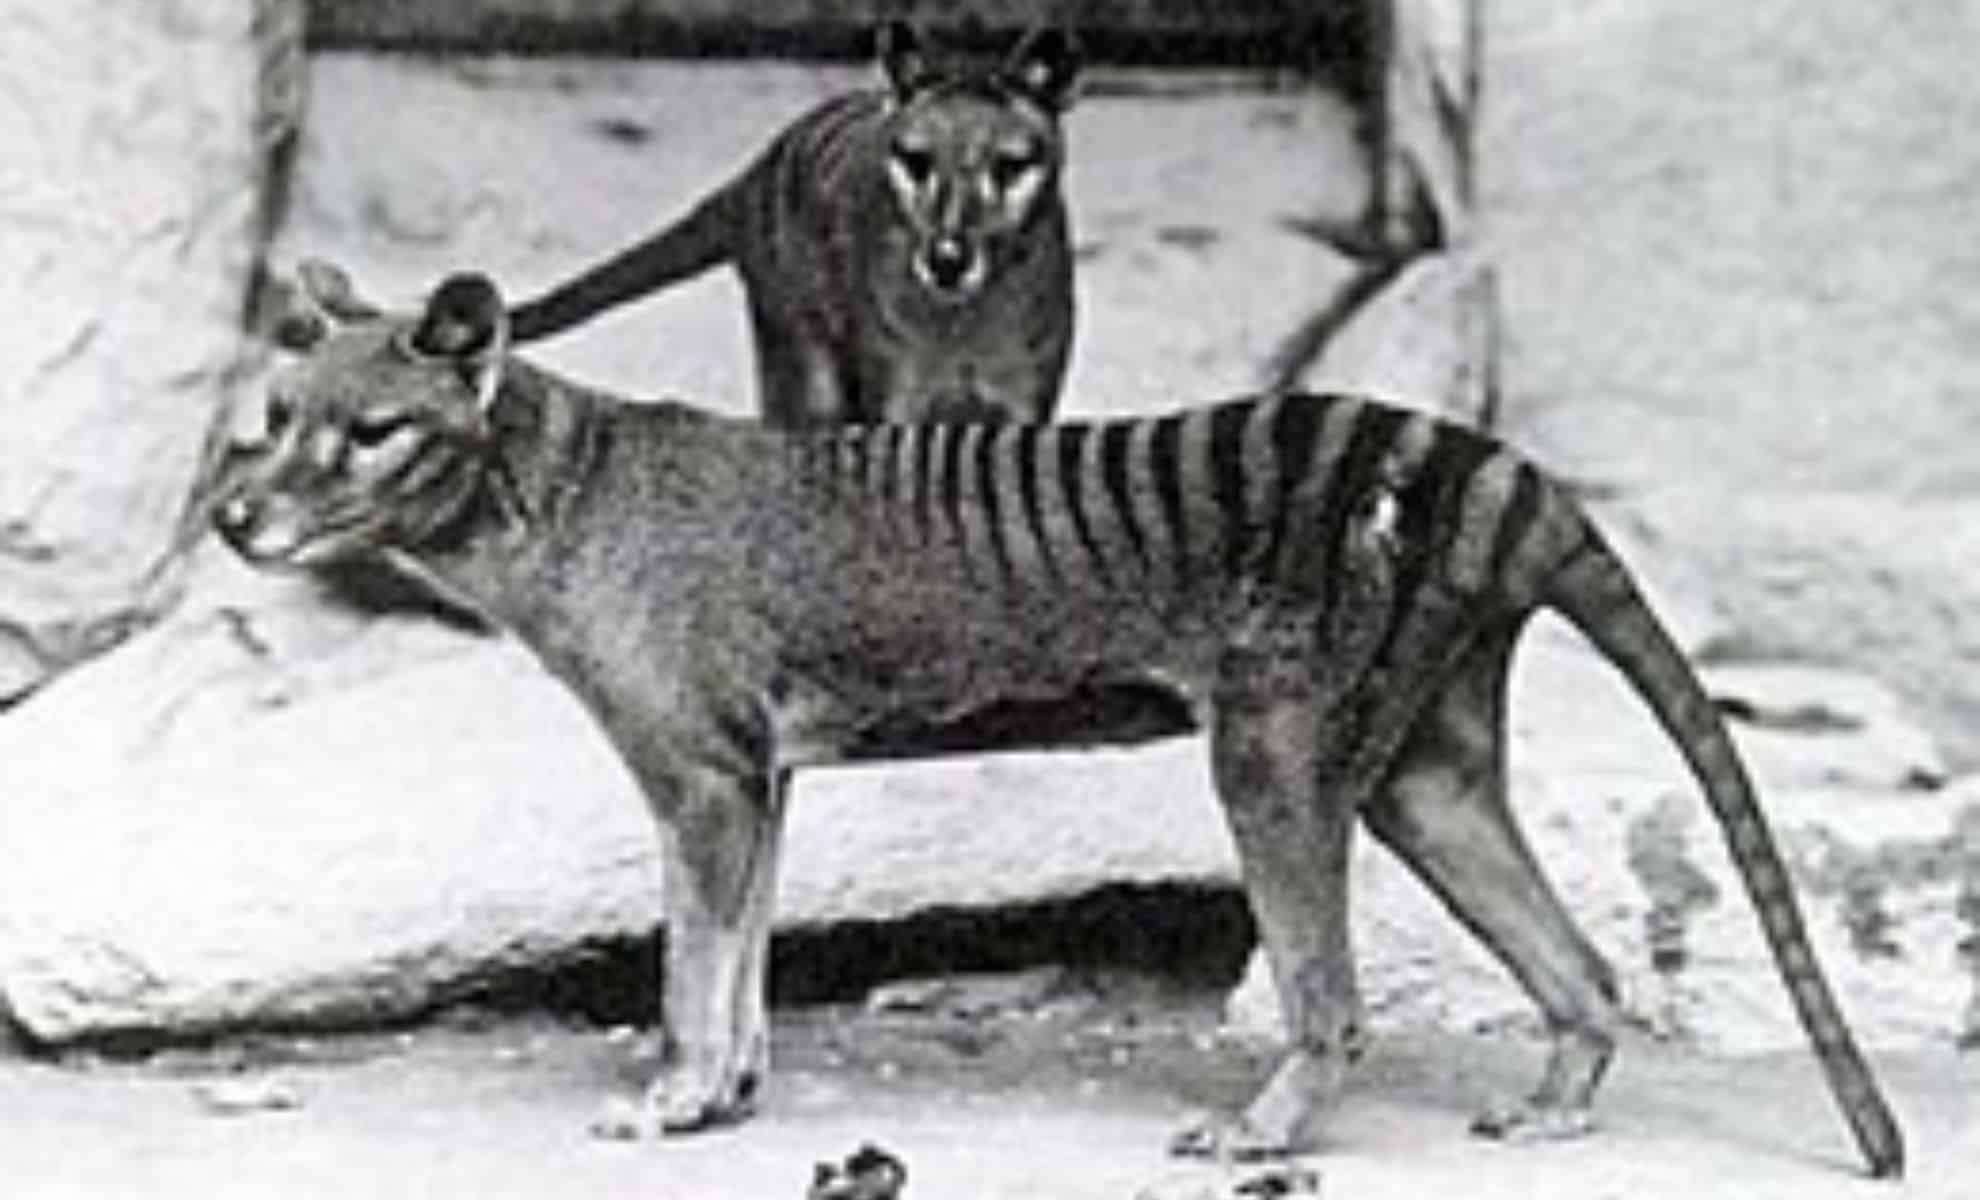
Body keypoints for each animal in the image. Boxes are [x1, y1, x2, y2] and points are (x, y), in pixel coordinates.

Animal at [213, 263, 1904, 1180]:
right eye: (272, 421)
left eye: (368, 431)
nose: (233, 516)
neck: (561, 488)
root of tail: (1498, 470)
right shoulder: (758, 779)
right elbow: (742, 953)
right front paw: (732, 1096)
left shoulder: (696, 774)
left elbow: (695, 961)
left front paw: (673, 1099)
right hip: (1425, 772)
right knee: (1582, 967)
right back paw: (1555, 1108)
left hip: (1274, 753)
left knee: (1331, 994)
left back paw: (1267, 1130)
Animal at [506, 20, 1080, 427]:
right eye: (917, 161)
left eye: (1009, 166)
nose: (947, 259)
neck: (965, 324)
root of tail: (755, 173)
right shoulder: (896, 399)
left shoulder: (1024, 401)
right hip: (806, 372)